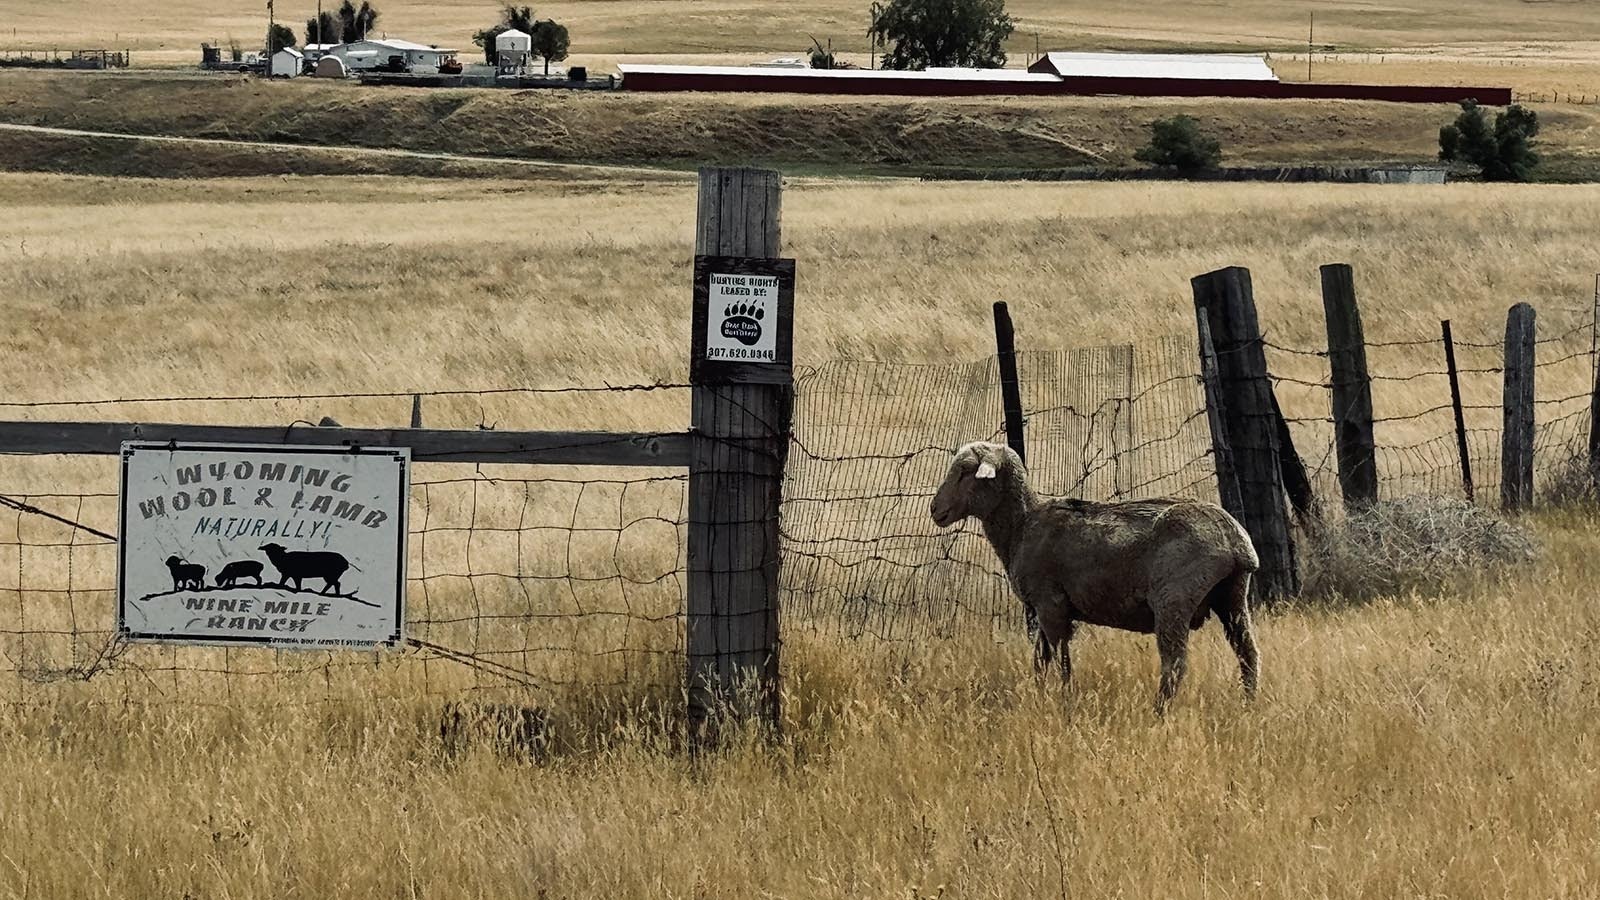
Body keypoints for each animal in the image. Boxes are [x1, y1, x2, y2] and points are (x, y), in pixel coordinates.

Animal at [928, 441, 1260, 707]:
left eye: (965, 472)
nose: (934, 509)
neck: (1021, 525)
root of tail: (1235, 539)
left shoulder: (1051, 604)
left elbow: (1061, 660)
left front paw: (1065, 700)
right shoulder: (1044, 608)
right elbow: (1039, 660)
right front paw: (1037, 695)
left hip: (1173, 600)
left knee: (1174, 665)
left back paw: (1158, 711)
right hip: (1231, 596)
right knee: (1248, 655)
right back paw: (1248, 705)